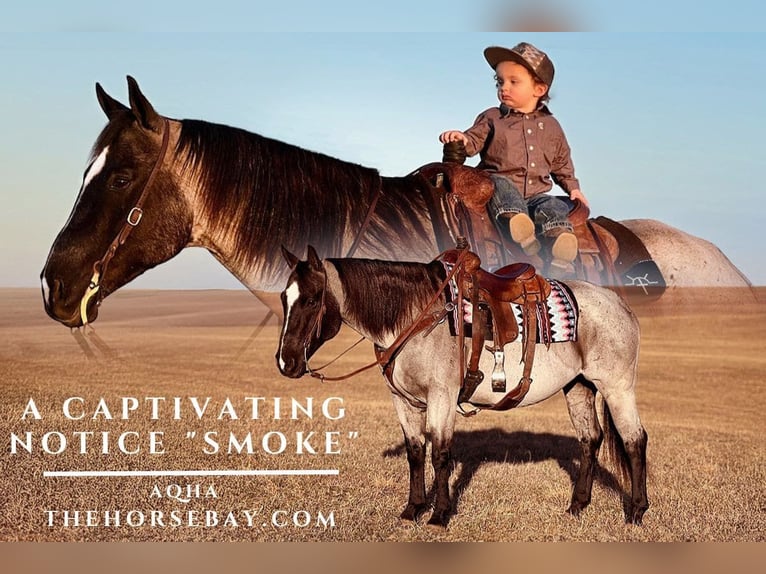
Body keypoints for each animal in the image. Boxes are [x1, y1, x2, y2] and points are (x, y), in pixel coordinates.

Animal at [276, 245, 649, 527]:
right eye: (283, 298)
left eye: (311, 299)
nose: (285, 362)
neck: (416, 316)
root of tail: (620, 303)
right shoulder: (403, 401)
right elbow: (415, 453)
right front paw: (412, 510)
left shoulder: (442, 396)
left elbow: (440, 454)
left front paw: (439, 515)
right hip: (579, 386)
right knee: (590, 440)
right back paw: (577, 506)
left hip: (617, 387)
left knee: (634, 440)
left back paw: (635, 512)